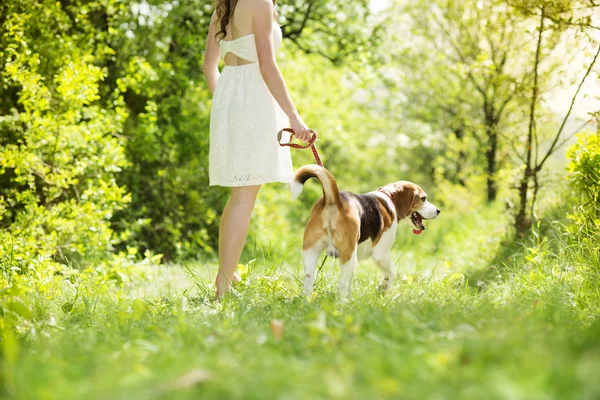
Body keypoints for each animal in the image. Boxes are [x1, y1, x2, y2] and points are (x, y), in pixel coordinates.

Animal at [292, 164, 440, 298]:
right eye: (423, 198)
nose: (438, 211)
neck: (389, 197)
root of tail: (334, 199)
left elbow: (351, 282)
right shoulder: (381, 254)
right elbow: (391, 273)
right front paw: (383, 289)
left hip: (311, 252)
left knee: (309, 282)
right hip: (348, 256)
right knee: (341, 286)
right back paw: (343, 305)